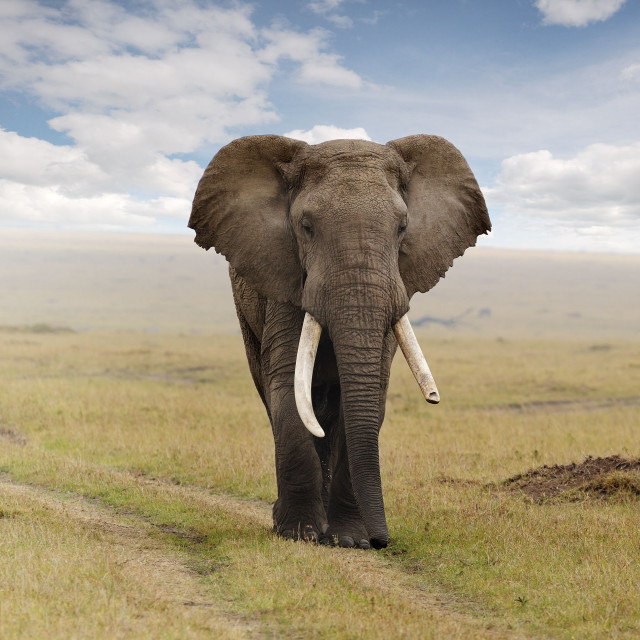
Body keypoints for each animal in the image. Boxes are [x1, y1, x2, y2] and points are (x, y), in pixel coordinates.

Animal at [189, 134, 490, 549]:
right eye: (306, 226)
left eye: (403, 227)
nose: (383, 542)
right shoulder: (285, 280)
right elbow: (288, 388)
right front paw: (298, 534)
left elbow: (367, 397)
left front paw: (349, 540)